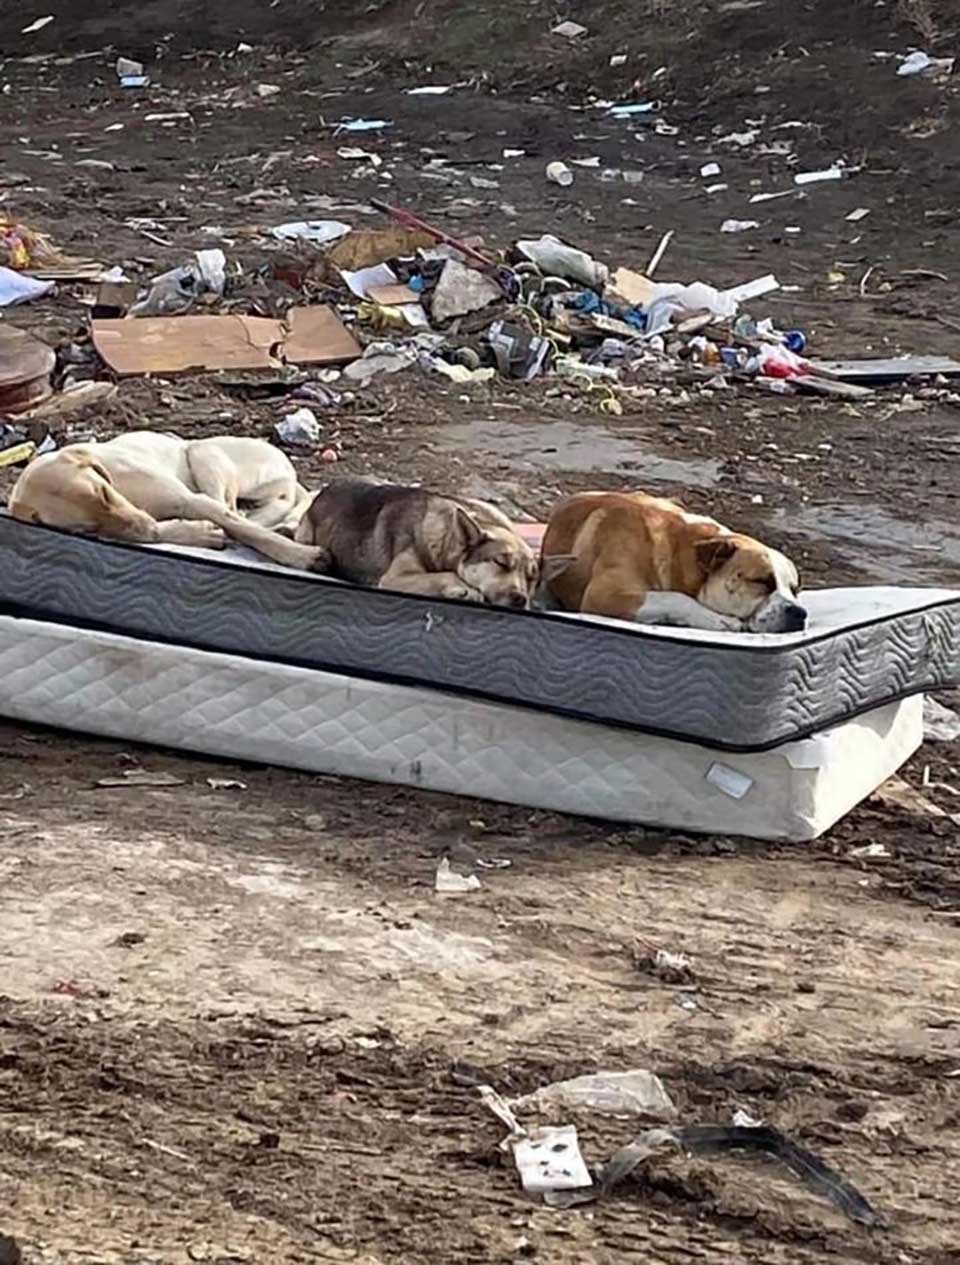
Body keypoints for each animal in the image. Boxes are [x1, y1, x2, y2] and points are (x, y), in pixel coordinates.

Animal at [297, 478, 541, 607]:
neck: (447, 538)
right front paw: (464, 589)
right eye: (501, 563)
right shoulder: (393, 579)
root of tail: (327, 488)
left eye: (531, 579)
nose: (521, 599)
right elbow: (446, 575)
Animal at [541, 490, 804, 632]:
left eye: (794, 590)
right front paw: (719, 620)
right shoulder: (604, 595)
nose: (799, 612)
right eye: (762, 581)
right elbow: (674, 597)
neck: (679, 551)